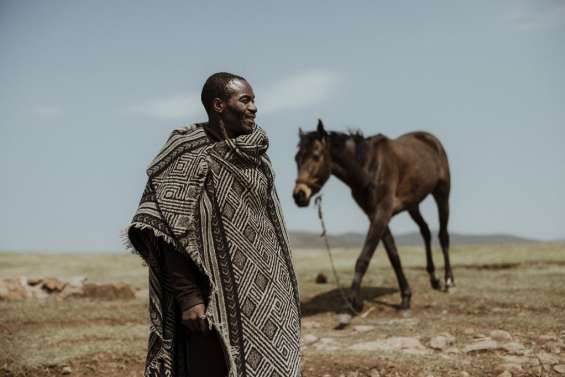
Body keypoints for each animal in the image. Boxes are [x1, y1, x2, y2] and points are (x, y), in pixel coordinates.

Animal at [294, 119, 452, 310]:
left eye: (316, 156)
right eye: (296, 158)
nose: (299, 195)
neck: (368, 168)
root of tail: (430, 139)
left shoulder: (382, 212)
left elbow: (364, 257)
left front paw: (354, 301)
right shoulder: (374, 215)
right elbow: (393, 255)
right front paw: (406, 296)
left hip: (442, 194)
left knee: (443, 235)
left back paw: (448, 281)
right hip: (413, 205)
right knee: (426, 231)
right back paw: (434, 280)